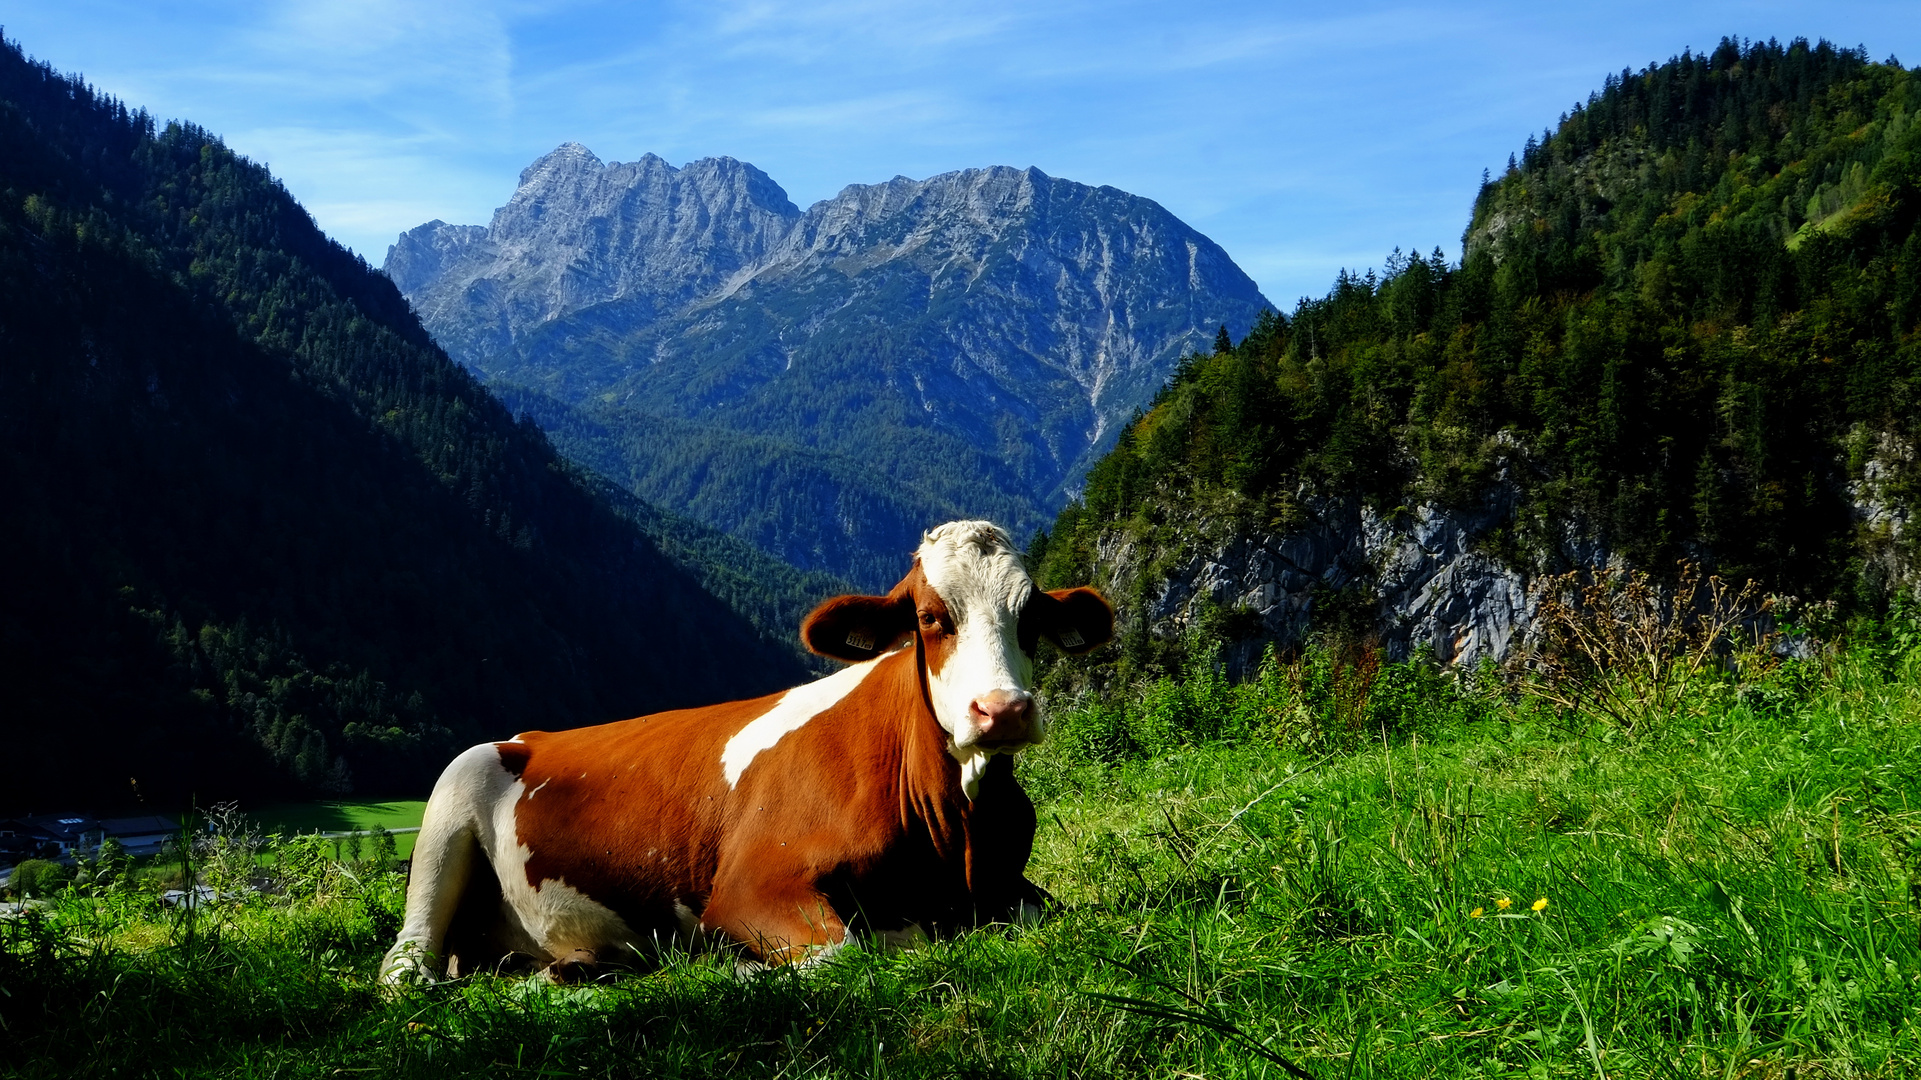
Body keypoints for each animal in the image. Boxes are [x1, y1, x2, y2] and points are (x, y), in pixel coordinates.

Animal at [378, 518, 1114, 980]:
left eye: (1031, 618)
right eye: (931, 618)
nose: (1004, 710)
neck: (953, 845)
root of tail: (527, 736)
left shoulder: (1009, 886)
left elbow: (1049, 916)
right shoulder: (748, 890)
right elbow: (841, 952)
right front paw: (733, 965)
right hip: (449, 800)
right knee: (405, 962)